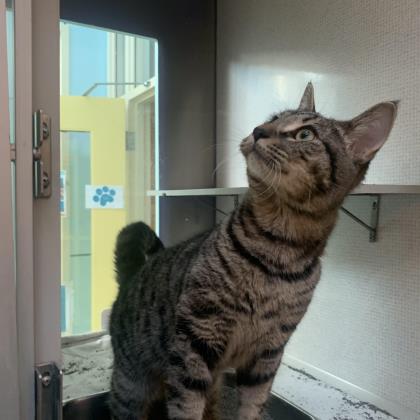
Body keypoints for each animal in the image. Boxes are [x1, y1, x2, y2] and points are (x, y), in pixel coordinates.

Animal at [109, 83, 398, 420]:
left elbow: (254, 403)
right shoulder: (194, 341)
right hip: (131, 386)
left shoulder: (268, 353)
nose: (258, 130)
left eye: (305, 134)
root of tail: (131, 278)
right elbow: (186, 406)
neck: (276, 251)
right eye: (274, 118)